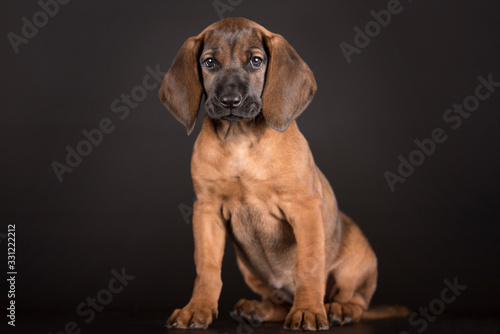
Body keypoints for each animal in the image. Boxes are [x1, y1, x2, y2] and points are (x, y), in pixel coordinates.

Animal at [158, 17, 408, 330]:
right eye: (209, 62)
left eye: (256, 61)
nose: (230, 100)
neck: (240, 140)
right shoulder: (206, 210)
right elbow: (207, 267)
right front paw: (197, 308)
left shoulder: (304, 207)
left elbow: (308, 266)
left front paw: (309, 311)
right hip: (250, 270)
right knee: (280, 301)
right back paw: (259, 309)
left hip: (354, 265)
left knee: (356, 301)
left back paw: (338, 310)